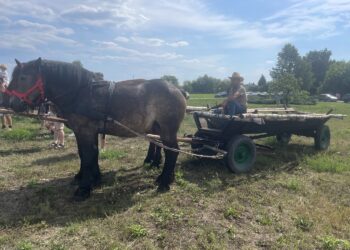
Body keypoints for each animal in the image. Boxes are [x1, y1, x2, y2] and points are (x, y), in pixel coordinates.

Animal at [4, 58, 186, 201]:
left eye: (23, 77)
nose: (11, 103)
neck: (80, 92)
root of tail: (178, 89)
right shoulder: (84, 132)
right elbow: (87, 154)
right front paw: (93, 178)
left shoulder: (85, 130)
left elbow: (88, 156)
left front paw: (84, 188)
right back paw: (165, 176)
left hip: (167, 130)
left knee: (172, 152)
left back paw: (164, 182)